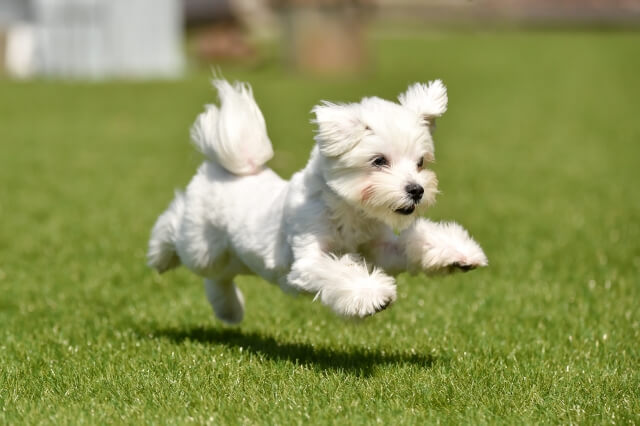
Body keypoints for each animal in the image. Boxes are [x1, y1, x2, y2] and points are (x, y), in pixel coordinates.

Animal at [148, 79, 488, 322]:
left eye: (420, 163)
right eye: (379, 161)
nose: (416, 189)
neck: (349, 212)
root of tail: (227, 169)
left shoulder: (379, 248)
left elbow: (408, 246)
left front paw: (458, 254)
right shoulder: (308, 256)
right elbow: (338, 271)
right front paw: (373, 295)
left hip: (230, 256)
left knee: (218, 278)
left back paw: (229, 311)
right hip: (201, 243)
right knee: (175, 227)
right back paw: (159, 256)